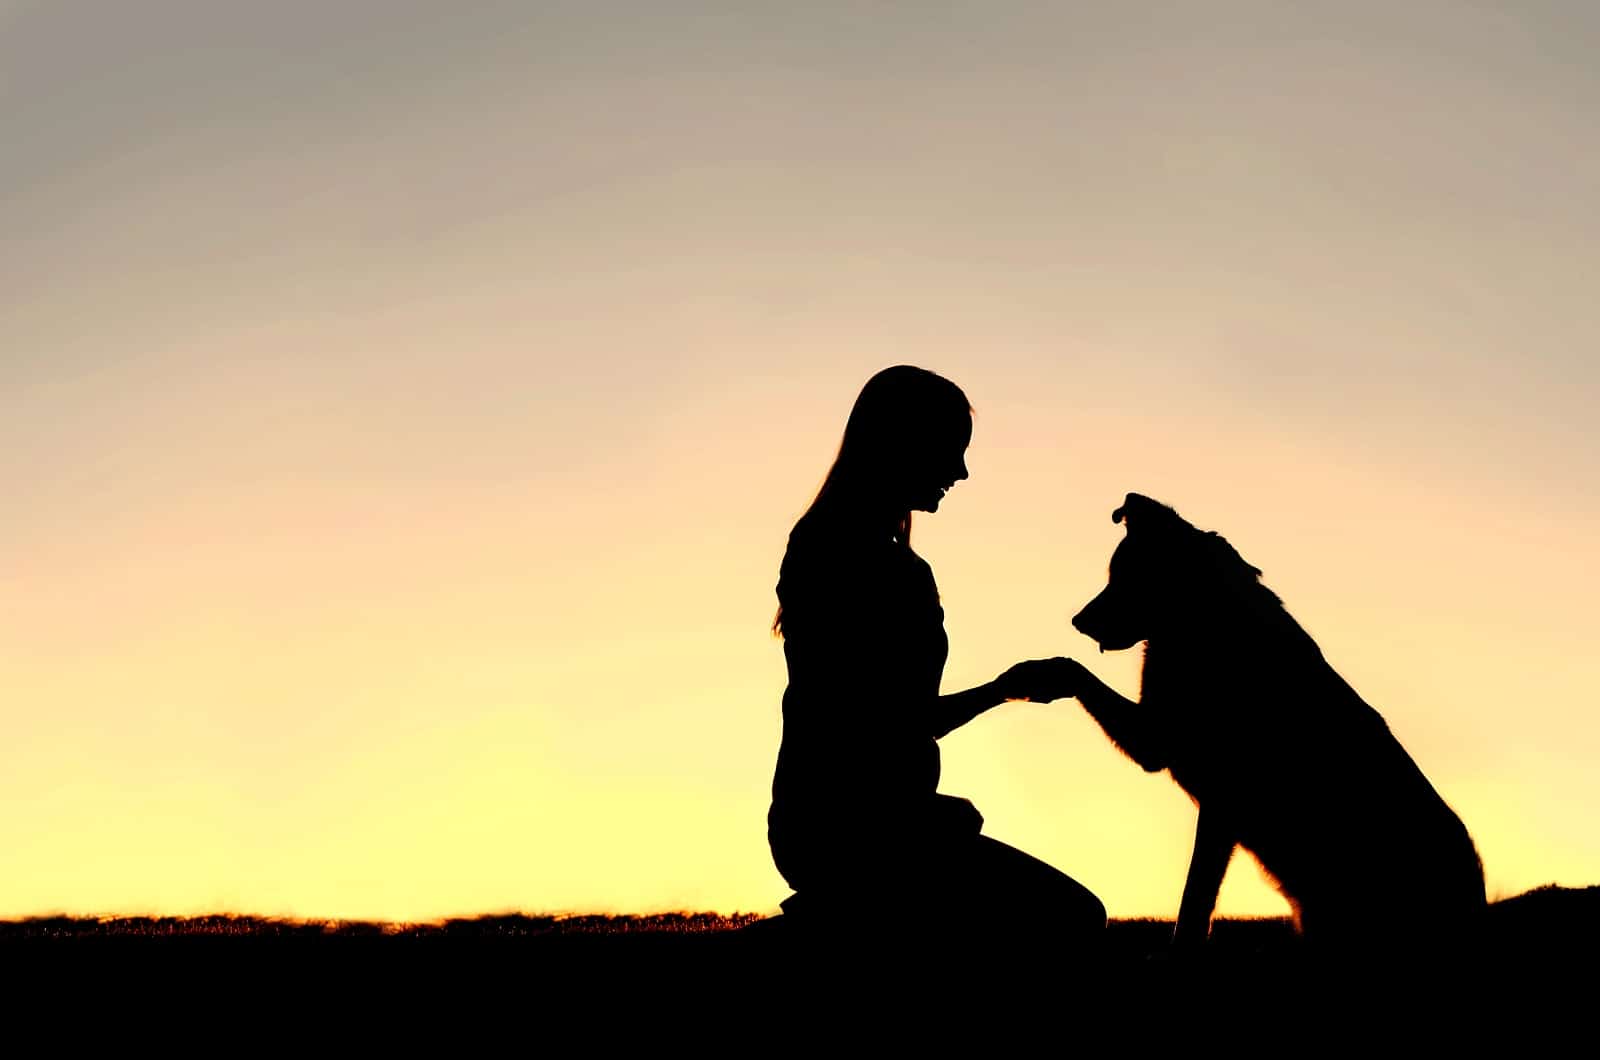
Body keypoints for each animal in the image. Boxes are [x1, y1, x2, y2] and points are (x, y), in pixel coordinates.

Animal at [1062, 493, 1484, 947]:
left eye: (1124, 575)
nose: (1078, 622)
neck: (1208, 624)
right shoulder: (1160, 746)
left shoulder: (1209, 794)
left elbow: (1194, 900)